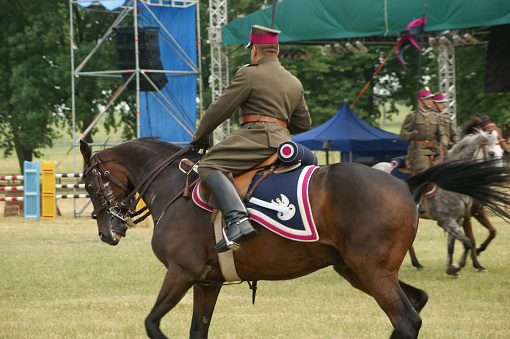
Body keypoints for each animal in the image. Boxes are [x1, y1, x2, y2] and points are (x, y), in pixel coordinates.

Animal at [372, 129, 504, 278]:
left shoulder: (458, 219)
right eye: (491, 153)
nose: (501, 177)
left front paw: (451, 270)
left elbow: (453, 246)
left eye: (501, 151)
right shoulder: (447, 221)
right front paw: (458, 266)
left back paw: (416, 264)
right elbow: (468, 242)